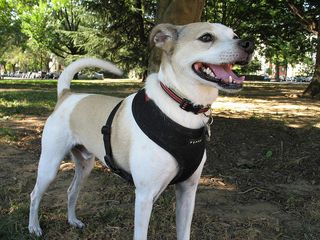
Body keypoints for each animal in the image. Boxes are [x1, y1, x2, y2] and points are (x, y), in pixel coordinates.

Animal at [28, 21, 254, 239]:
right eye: (206, 37)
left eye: (234, 35)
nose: (248, 44)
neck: (181, 107)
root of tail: (67, 95)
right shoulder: (145, 196)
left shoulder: (187, 192)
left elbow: (184, 233)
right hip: (50, 165)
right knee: (35, 194)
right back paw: (34, 227)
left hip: (85, 166)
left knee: (71, 191)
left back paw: (72, 220)